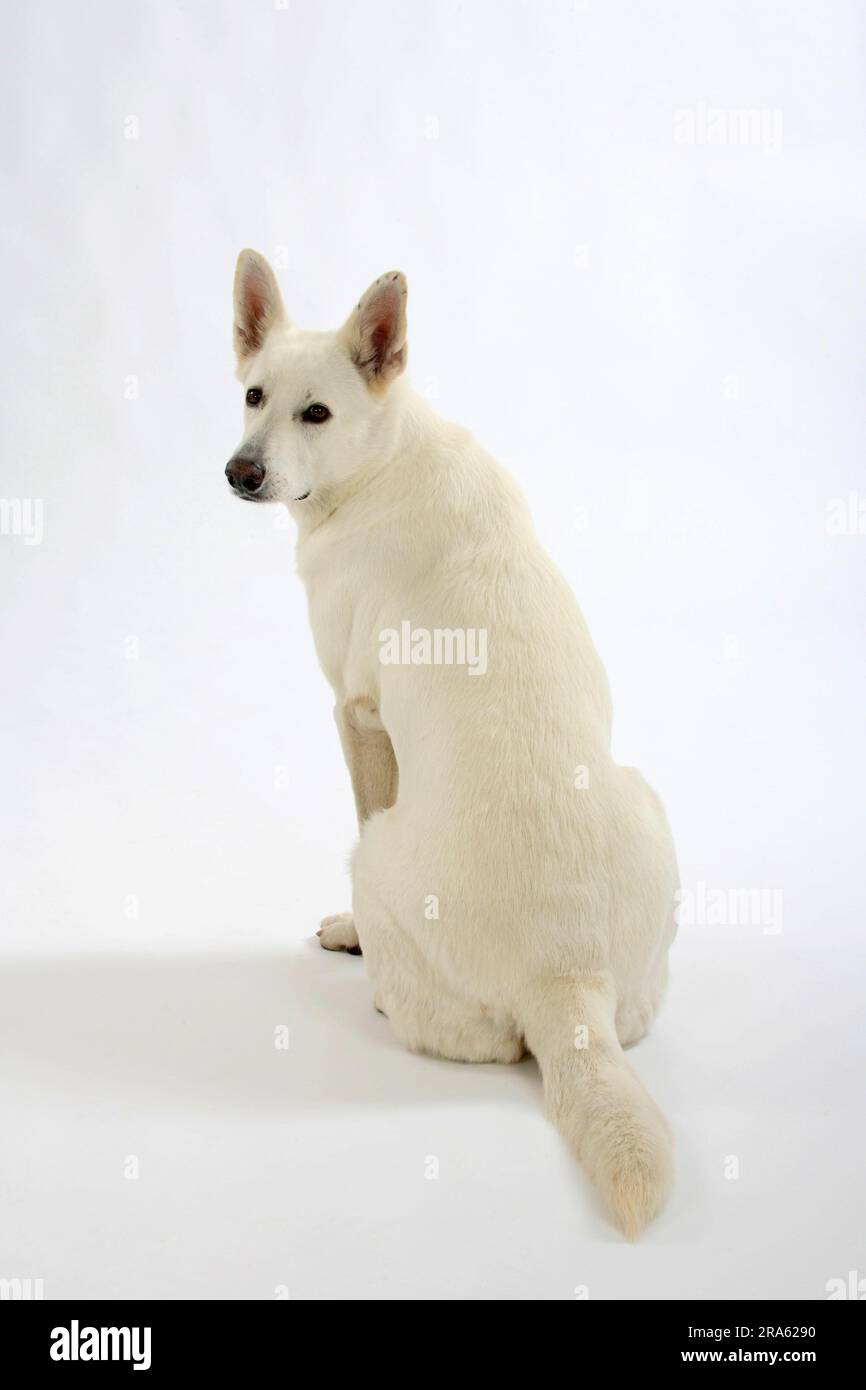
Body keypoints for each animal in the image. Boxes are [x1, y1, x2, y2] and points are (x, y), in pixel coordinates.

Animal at [226, 252, 681, 1239]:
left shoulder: (356, 714)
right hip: (648, 805)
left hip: (378, 858)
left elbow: (366, 789)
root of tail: (565, 981)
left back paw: (377, 979)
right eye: (253, 395)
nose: (240, 472)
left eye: (316, 413)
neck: (385, 457)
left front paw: (350, 938)